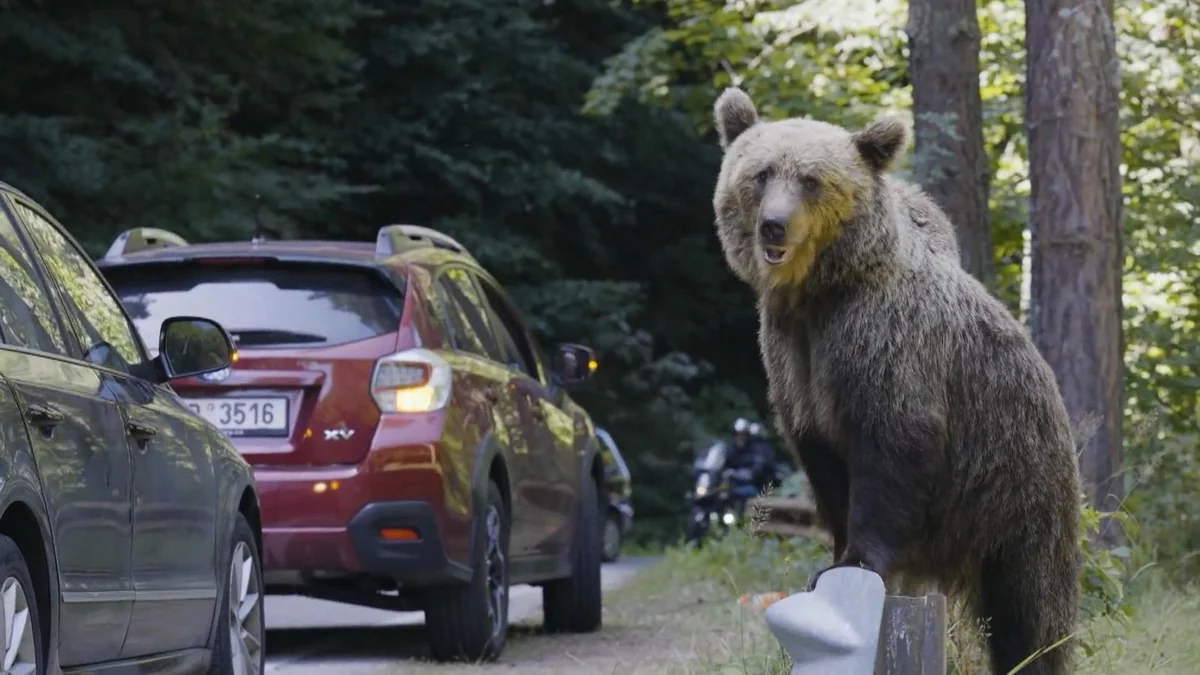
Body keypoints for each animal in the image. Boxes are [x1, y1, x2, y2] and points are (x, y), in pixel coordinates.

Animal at [710, 86, 1082, 675]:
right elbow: (823, 460)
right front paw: (833, 554)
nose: (774, 225)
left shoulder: (883, 341)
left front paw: (859, 559)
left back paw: (1030, 653)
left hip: (1017, 484)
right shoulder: (793, 358)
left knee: (1030, 604)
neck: (818, 293)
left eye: (811, 180)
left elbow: (891, 446)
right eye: (761, 173)